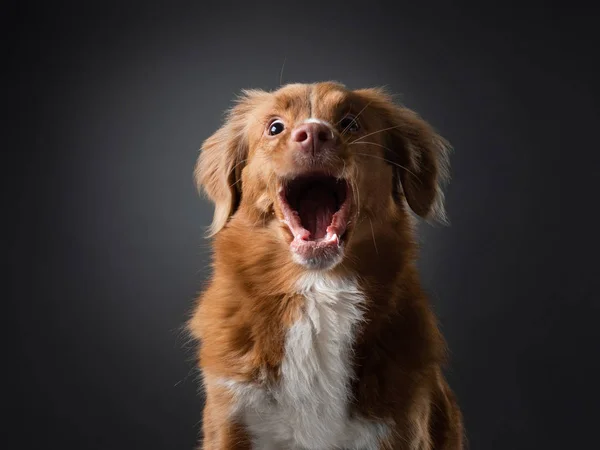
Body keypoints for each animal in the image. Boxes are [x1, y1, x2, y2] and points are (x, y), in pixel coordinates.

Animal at [188, 81, 464, 450]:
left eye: (350, 123)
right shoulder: (230, 420)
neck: (317, 293)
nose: (314, 134)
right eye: (275, 127)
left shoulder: (400, 426)